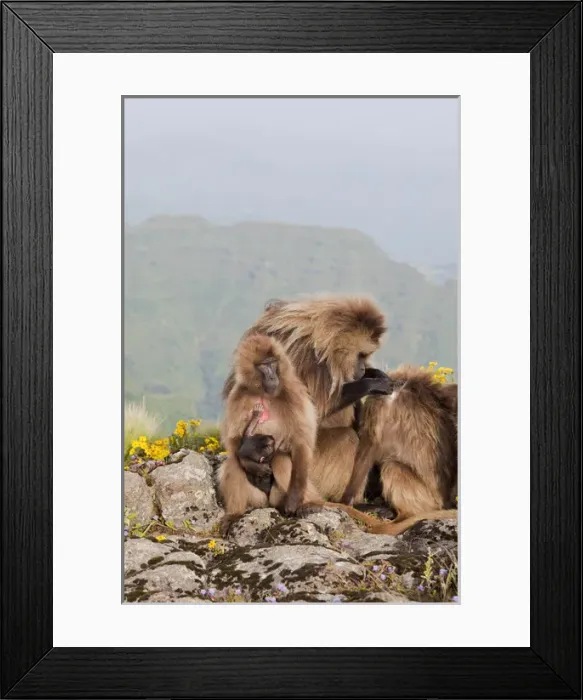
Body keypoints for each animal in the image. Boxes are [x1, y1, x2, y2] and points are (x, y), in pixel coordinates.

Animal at [337, 366, 458, 535]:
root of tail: (443, 503)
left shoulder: (377, 402)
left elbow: (368, 450)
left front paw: (346, 501)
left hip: (426, 499)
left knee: (392, 466)